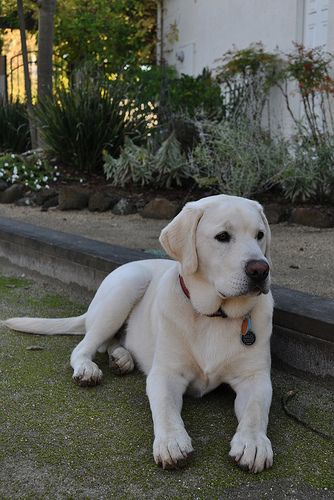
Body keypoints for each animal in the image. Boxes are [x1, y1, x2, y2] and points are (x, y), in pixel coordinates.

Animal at [3, 194, 274, 472]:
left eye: (260, 235)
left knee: (111, 342)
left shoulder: (255, 378)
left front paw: (253, 443)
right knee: (84, 346)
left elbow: (255, 411)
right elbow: (166, 409)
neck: (214, 314)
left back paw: (121, 358)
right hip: (128, 286)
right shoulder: (166, 373)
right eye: (222, 236)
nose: (261, 270)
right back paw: (88, 368)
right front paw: (172, 441)